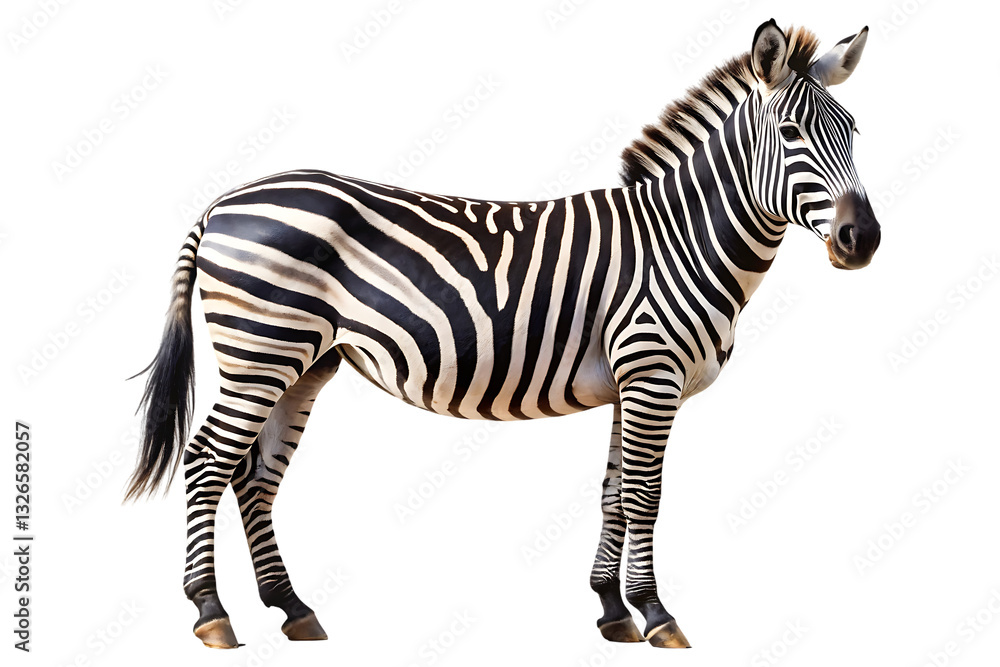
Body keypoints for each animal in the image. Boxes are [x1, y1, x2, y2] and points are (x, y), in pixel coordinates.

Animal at [127, 19, 880, 650]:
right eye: (792, 133)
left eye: (853, 131)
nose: (863, 239)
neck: (680, 239)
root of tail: (224, 201)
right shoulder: (652, 372)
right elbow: (646, 494)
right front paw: (656, 613)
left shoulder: (628, 384)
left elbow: (613, 491)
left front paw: (610, 609)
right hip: (261, 349)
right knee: (208, 459)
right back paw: (211, 612)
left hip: (306, 361)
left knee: (255, 477)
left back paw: (293, 608)